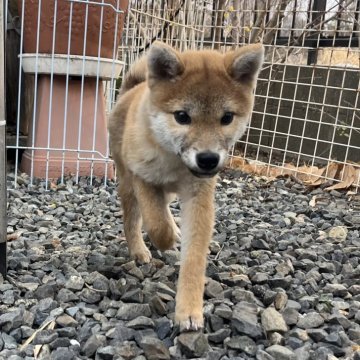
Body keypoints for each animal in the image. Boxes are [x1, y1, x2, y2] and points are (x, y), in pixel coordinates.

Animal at [108, 40, 262, 330]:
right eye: (182, 116)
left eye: (227, 118)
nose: (208, 159)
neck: (174, 162)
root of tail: (131, 90)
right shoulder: (142, 177)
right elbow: (156, 224)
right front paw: (165, 240)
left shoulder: (199, 198)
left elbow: (194, 258)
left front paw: (189, 310)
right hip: (126, 183)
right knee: (132, 220)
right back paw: (140, 250)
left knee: (164, 207)